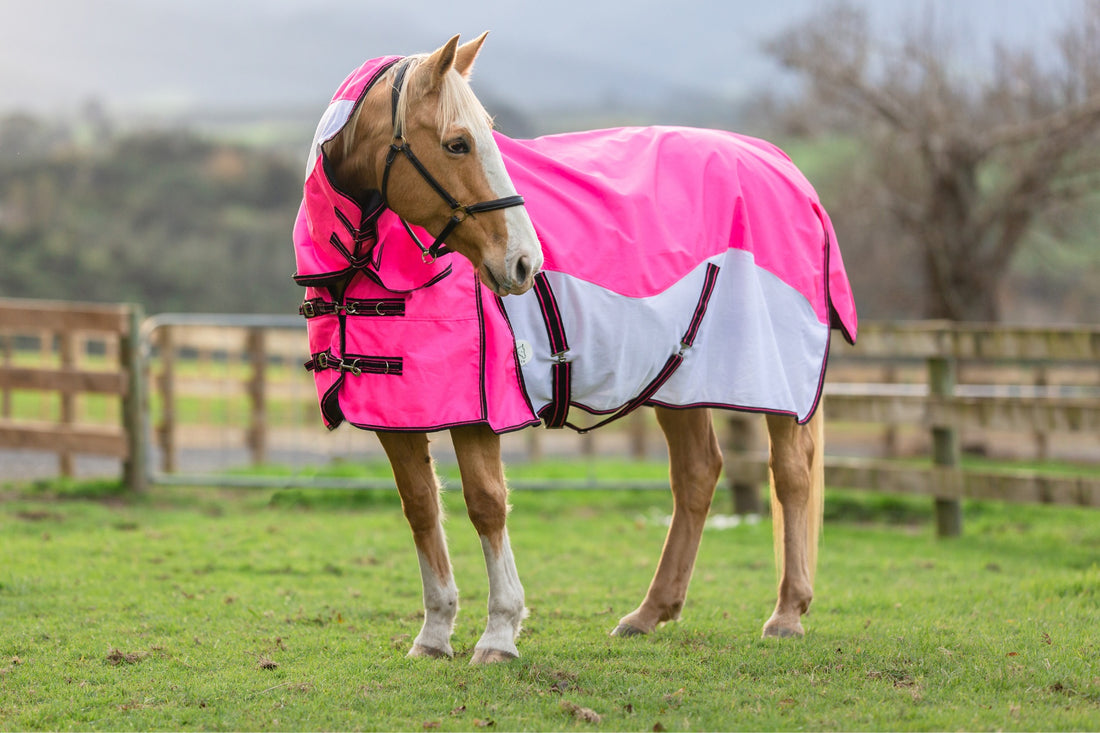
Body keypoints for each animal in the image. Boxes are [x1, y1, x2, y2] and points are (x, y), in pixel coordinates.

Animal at [294, 32, 858, 660]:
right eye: (457, 143)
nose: (524, 262)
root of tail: (783, 167)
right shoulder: (397, 413)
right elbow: (421, 507)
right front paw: (435, 635)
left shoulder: (482, 410)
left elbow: (486, 503)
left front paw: (499, 632)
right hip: (677, 380)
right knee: (697, 474)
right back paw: (650, 612)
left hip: (776, 380)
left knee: (791, 474)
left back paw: (787, 613)